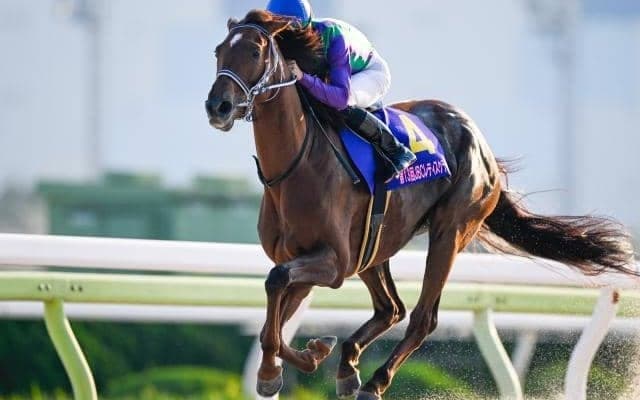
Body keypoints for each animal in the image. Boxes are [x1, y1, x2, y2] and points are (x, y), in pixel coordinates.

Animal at [205, 10, 636, 400]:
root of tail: (481, 144)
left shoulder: (334, 262)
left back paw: (374, 381)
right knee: (390, 308)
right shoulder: (306, 259)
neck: (295, 168)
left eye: (256, 51)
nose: (218, 106)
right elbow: (272, 322)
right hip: (378, 245)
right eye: (218, 51)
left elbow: (275, 288)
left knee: (421, 316)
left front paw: (289, 364)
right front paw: (300, 359)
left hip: (450, 231)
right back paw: (348, 365)